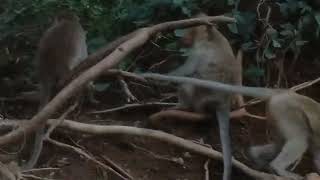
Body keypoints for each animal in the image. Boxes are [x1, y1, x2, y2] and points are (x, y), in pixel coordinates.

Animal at [142, 72, 320, 179]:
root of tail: (283, 92)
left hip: (276, 112)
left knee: (283, 142)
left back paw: (258, 160)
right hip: (285, 110)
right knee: (299, 139)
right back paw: (277, 168)